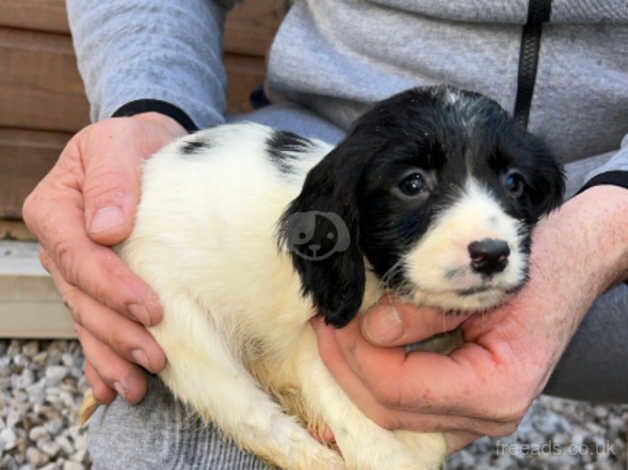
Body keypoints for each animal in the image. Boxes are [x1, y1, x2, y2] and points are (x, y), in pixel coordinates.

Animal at [86, 86, 560, 468]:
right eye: (412, 184)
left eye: (514, 183)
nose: (492, 253)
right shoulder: (317, 349)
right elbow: (380, 449)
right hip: (181, 332)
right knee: (256, 420)